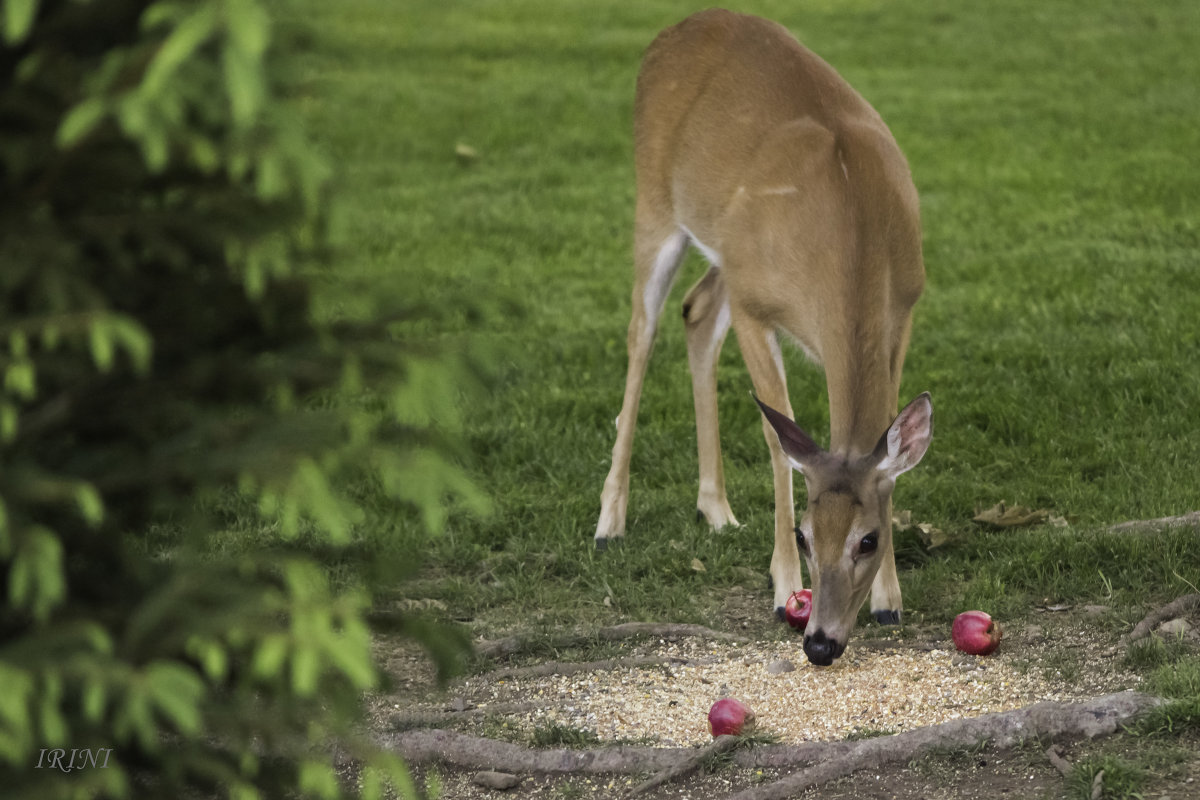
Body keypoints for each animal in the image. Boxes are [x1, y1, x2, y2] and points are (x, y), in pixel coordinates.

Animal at [595, 9, 931, 666]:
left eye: (870, 538)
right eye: (804, 535)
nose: (821, 643)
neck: (852, 230)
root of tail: (676, 28)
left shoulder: (903, 308)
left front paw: (890, 600)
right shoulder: (758, 309)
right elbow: (780, 441)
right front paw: (781, 589)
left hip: (731, 255)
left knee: (697, 311)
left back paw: (717, 510)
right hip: (658, 205)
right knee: (642, 330)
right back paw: (609, 524)